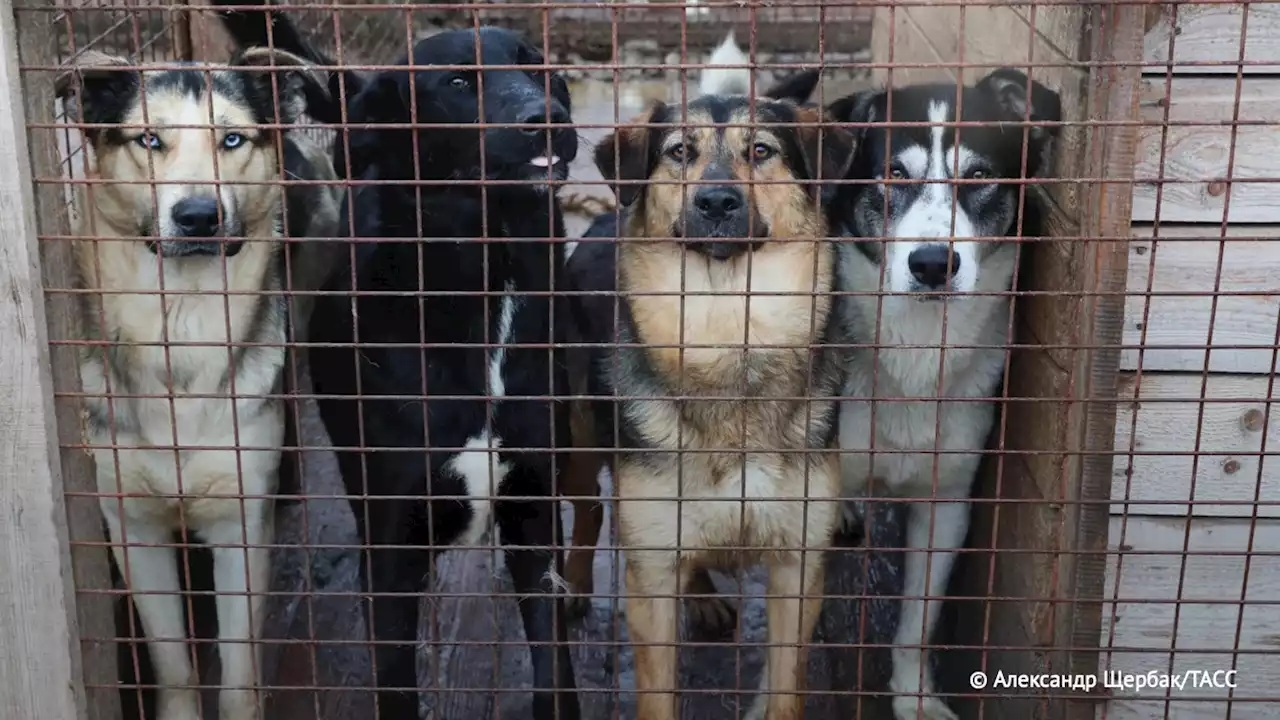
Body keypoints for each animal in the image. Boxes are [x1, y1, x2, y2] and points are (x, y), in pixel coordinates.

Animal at [56, 46, 340, 717]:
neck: (182, 325)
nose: (197, 216)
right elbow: (174, 663)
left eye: (231, 138)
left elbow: (237, 672)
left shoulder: (240, 530)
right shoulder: (132, 528)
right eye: (149, 139)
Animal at [212, 2, 583, 712]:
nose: (548, 115)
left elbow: (557, 673)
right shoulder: (389, 547)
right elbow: (396, 682)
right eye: (457, 84)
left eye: (538, 68)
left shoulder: (536, 520)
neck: (483, 277)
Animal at [568, 75, 855, 712]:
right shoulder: (650, 580)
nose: (717, 202)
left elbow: (785, 690)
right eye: (680, 152)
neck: (727, 329)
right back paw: (573, 584)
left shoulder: (799, 568)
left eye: (761, 151)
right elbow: (658, 696)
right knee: (588, 505)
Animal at [824, 68, 1064, 717]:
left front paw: (914, 697)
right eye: (892, 174)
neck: (914, 353)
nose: (933, 264)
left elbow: (917, 623)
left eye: (977, 178)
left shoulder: (948, 503)